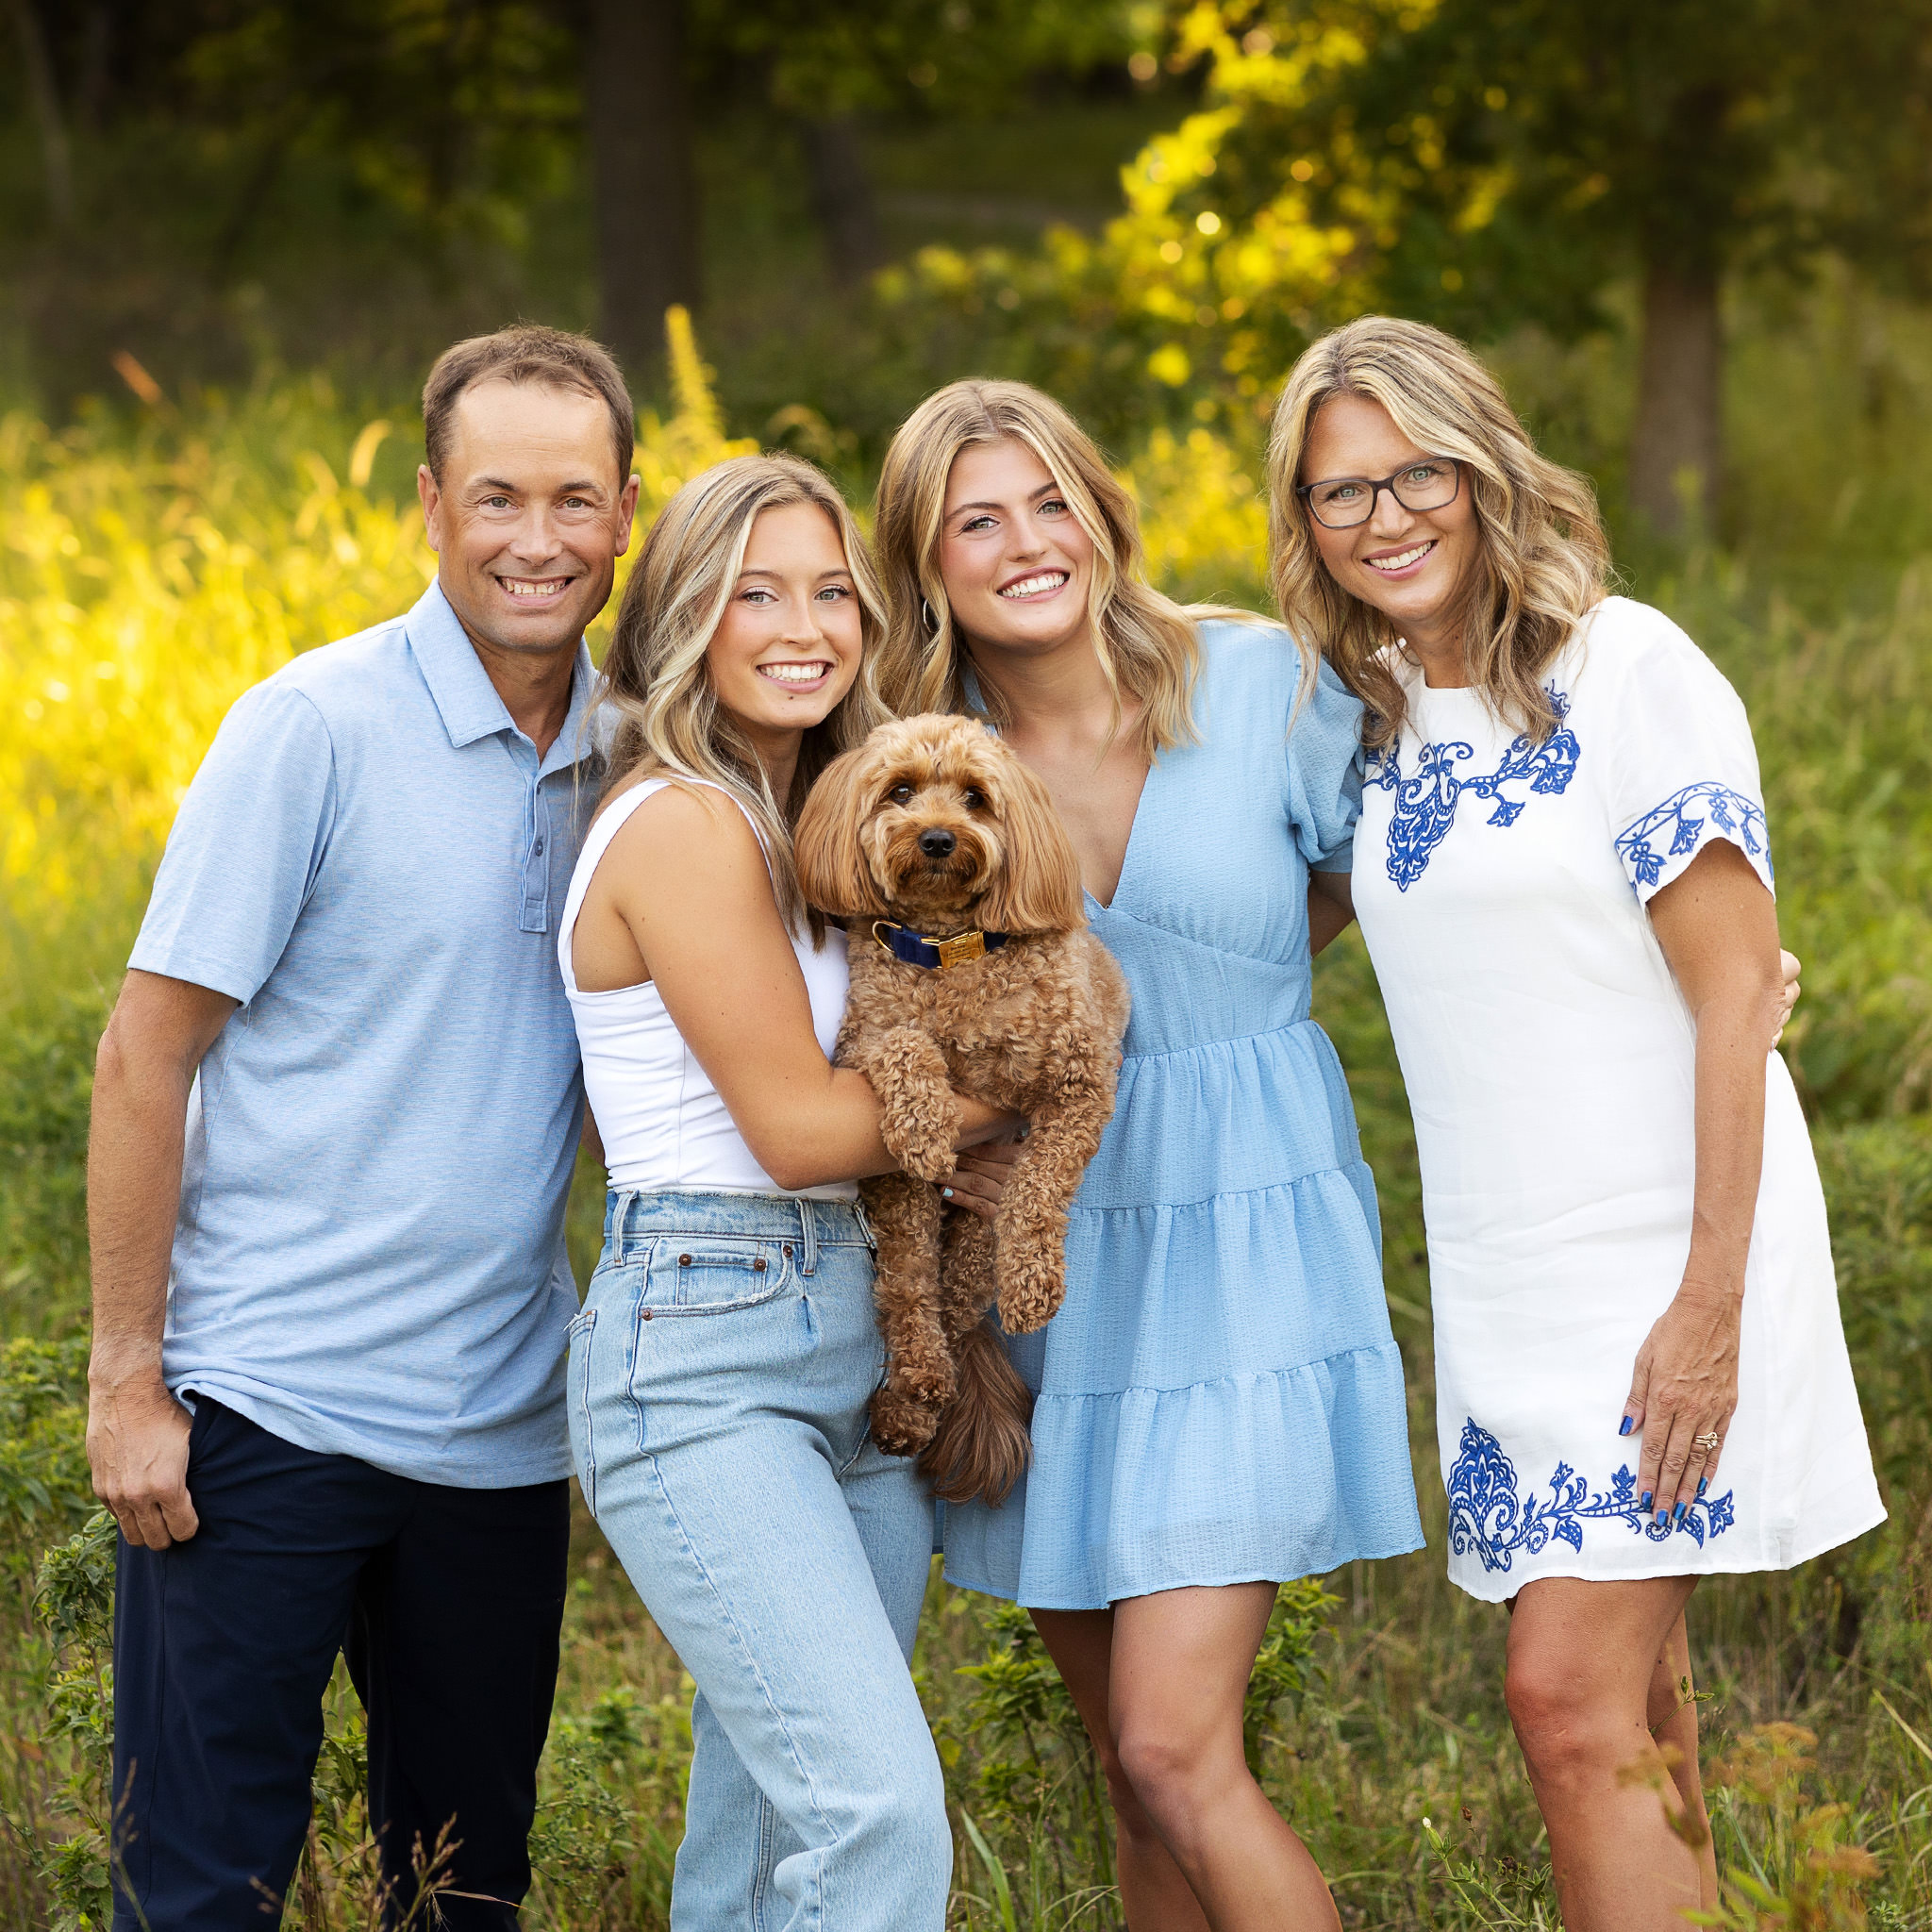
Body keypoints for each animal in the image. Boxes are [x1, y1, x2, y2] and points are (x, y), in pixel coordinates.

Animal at [791, 710, 1128, 1507]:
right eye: (901, 790)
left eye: (975, 796)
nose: (939, 838)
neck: (949, 948)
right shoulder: (863, 1044)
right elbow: (904, 1043)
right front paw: (925, 1124)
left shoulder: (1079, 1085)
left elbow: (1039, 1190)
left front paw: (1034, 1286)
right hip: (902, 1207)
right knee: (910, 1291)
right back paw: (912, 1396)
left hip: (970, 1228)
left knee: (953, 1294)